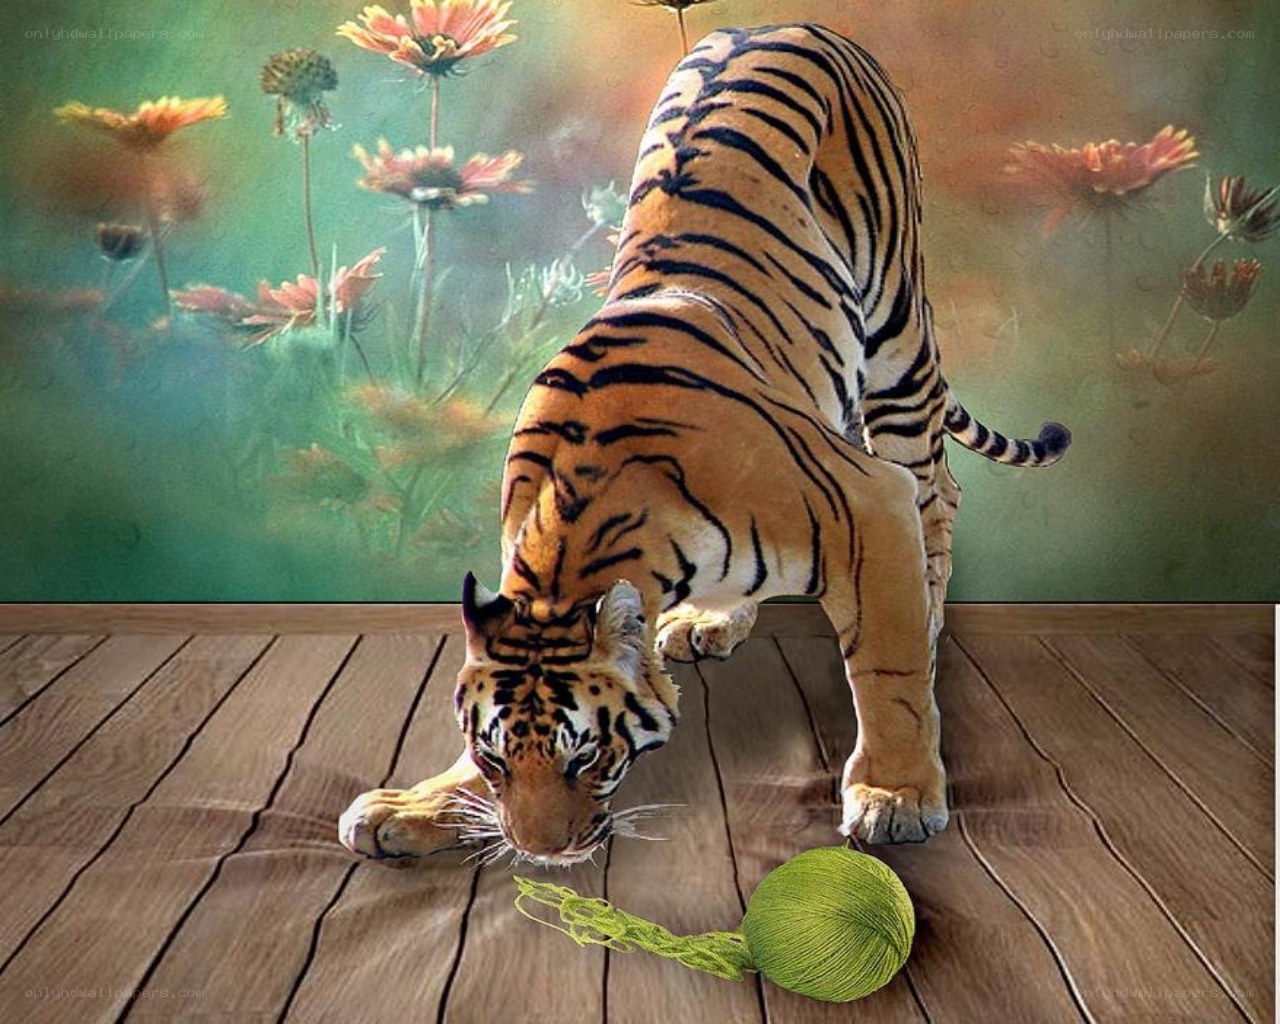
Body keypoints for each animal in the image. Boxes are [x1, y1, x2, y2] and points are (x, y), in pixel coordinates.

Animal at [339, 23, 1069, 864]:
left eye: (584, 756)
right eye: (497, 759)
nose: (541, 852)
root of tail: (788, 26)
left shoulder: (867, 501)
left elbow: (886, 667)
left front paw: (897, 794)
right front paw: (415, 806)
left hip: (898, 340)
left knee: (937, 492)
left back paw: (926, 613)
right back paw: (709, 621)